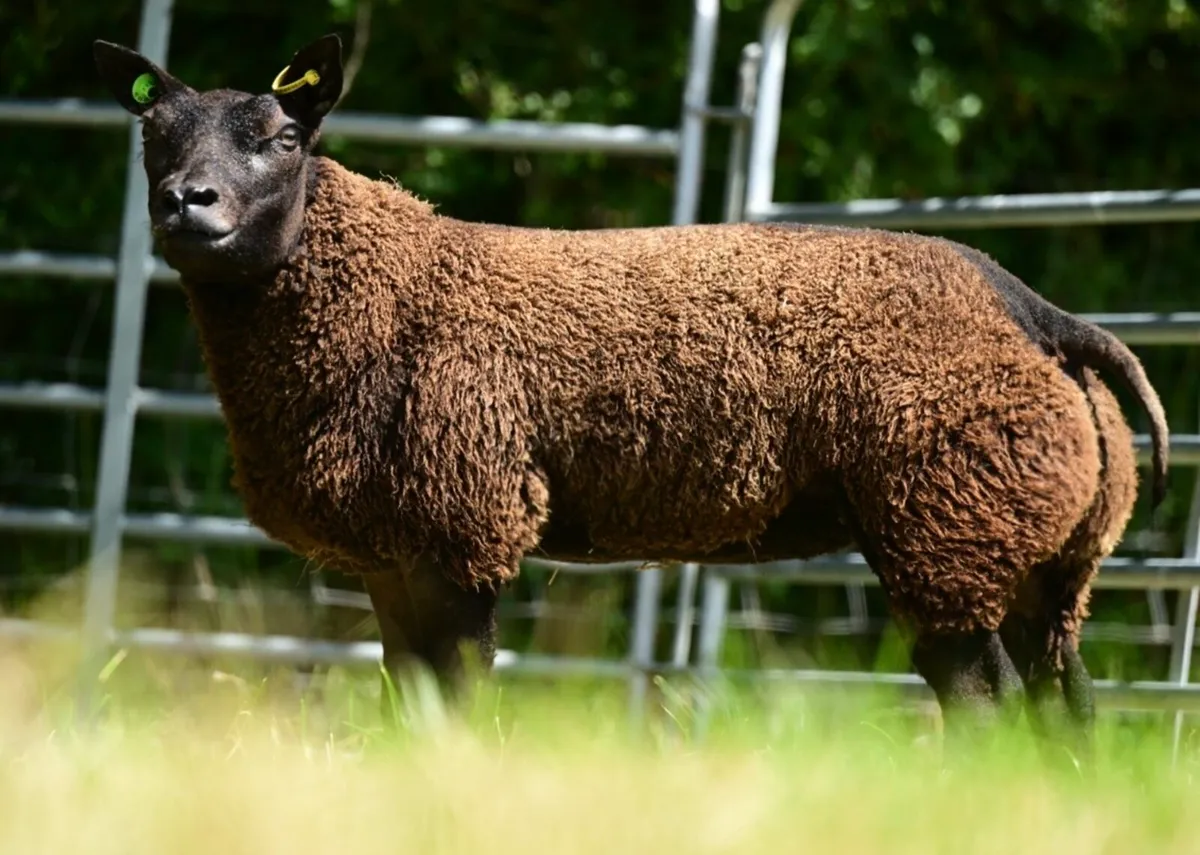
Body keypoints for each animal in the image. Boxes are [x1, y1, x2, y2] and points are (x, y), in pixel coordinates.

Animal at [92, 33, 1167, 753]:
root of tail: (1035, 312)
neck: (384, 290)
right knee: (1065, 715)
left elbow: (459, 706)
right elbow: (409, 707)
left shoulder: (462, 524)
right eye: (152, 137)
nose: (187, 203)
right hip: (1041, 554)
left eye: (282, 136)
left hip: (949, 526)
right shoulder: (392, 551)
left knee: (989, 708)